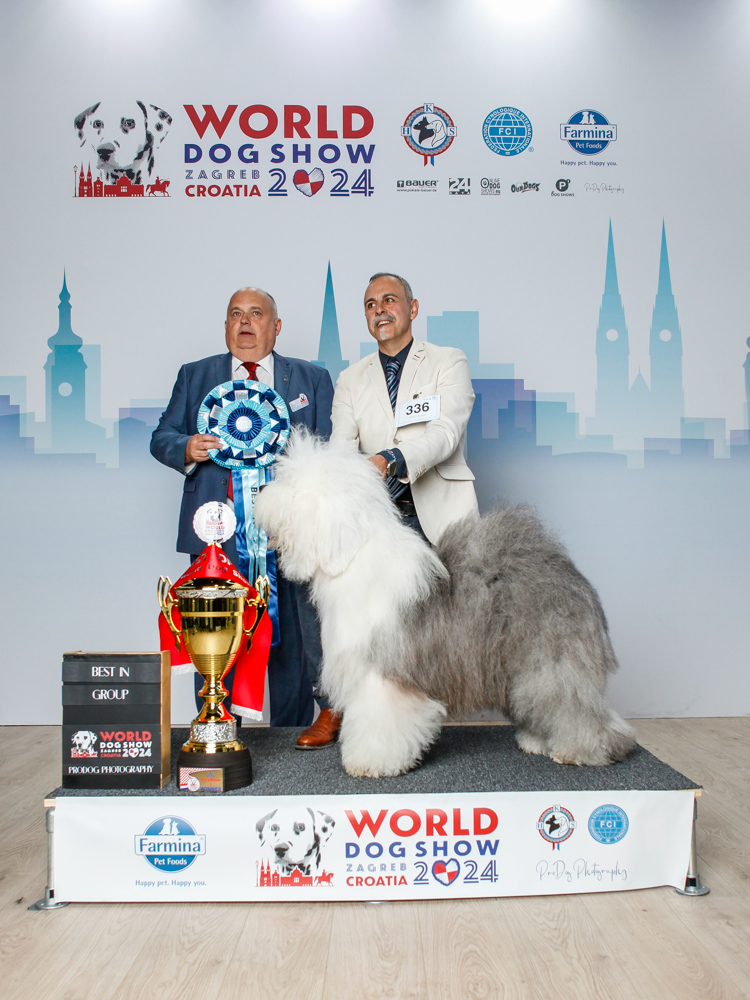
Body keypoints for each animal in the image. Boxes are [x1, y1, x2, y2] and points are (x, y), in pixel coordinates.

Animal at [254, 431, 636, 778]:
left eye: (291, 484)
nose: (260, 495)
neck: (352, 555)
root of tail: (567, 569)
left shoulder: (384, 675)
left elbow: (379, 720)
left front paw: (370, 762)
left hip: (551, 660)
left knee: (578, 708)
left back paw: (581, 750)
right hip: (525, 669)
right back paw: (537, 741)